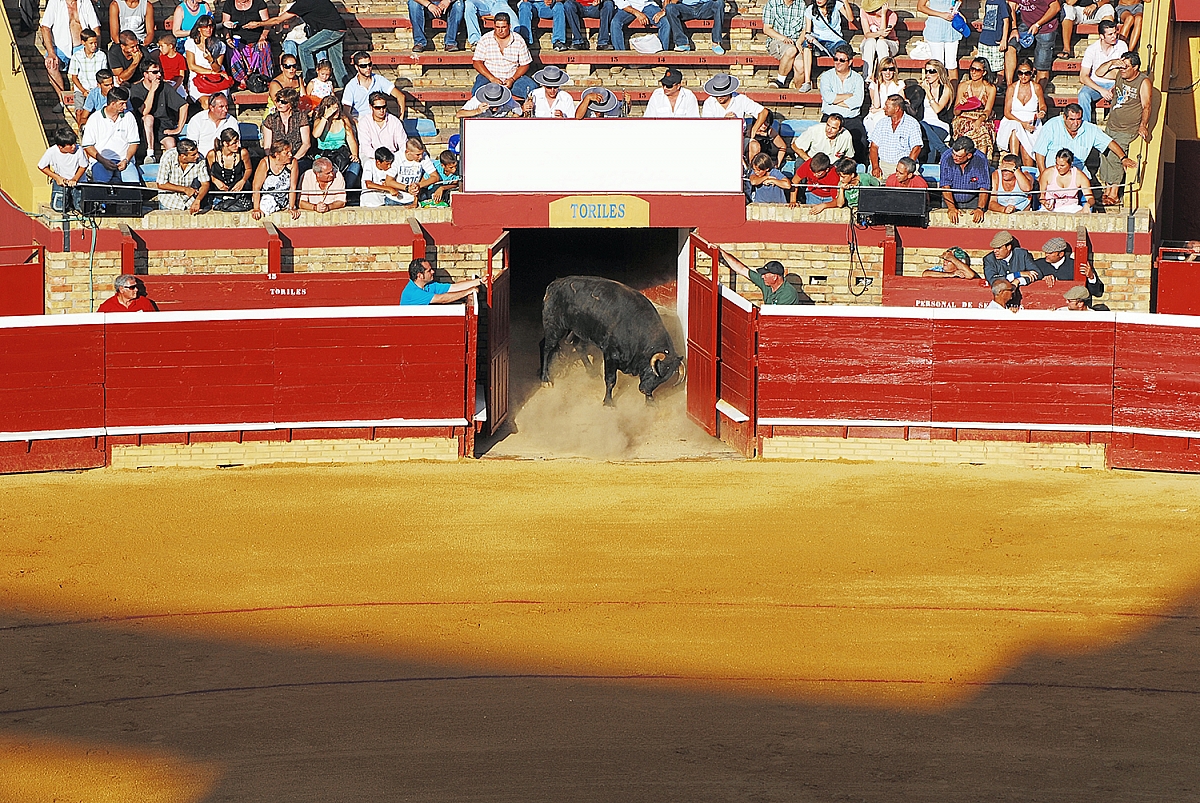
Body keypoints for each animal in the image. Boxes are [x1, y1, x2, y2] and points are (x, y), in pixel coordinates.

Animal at [540, 276, 685, 405]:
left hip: (580, 330)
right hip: (554, 327)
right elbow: (610, 380)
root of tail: (554, 285)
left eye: (664, 379)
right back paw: (545, 379)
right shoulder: (610, 355)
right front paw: (608, 402)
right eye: (654, 370)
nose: (644, 390)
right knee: (547, 349)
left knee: (579, 346)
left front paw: (650, 401)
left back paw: (592, 372)